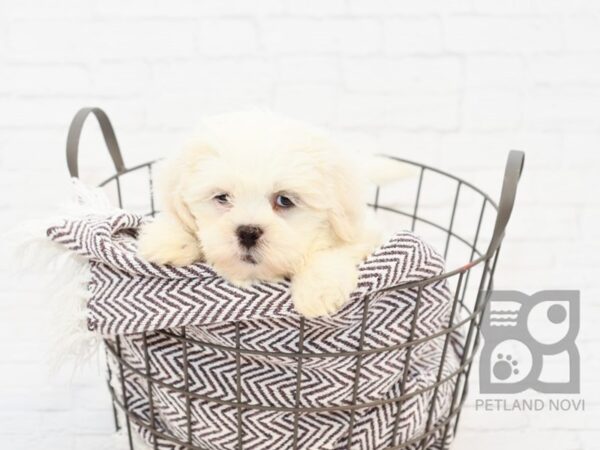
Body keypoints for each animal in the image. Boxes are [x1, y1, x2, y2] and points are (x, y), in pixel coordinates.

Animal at [139, 110, 382, 318]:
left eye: (284, 200)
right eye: (222, 197)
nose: (248, 233)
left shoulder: (366, 233)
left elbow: (334, 250)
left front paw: (319, 288)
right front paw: (169, 238)